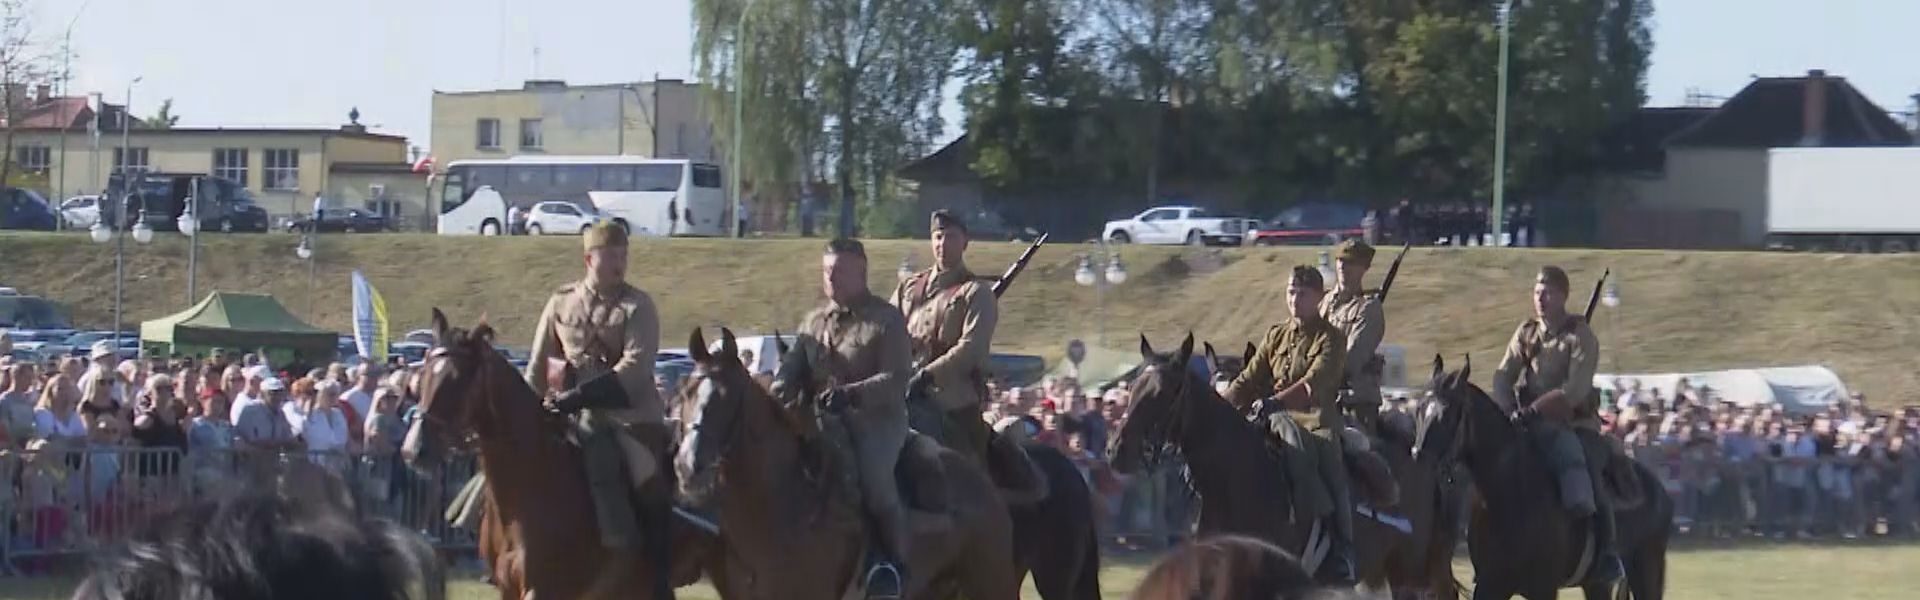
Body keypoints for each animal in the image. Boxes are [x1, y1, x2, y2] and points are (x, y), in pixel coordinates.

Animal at [1413, 357, 1666, 596]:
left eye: (1446, 413)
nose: (1418, 457)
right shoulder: (1491, 584)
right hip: (1596, 585)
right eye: (1419, 409)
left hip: (1647, 572)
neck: (1510, 490)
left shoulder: (1543, 588)